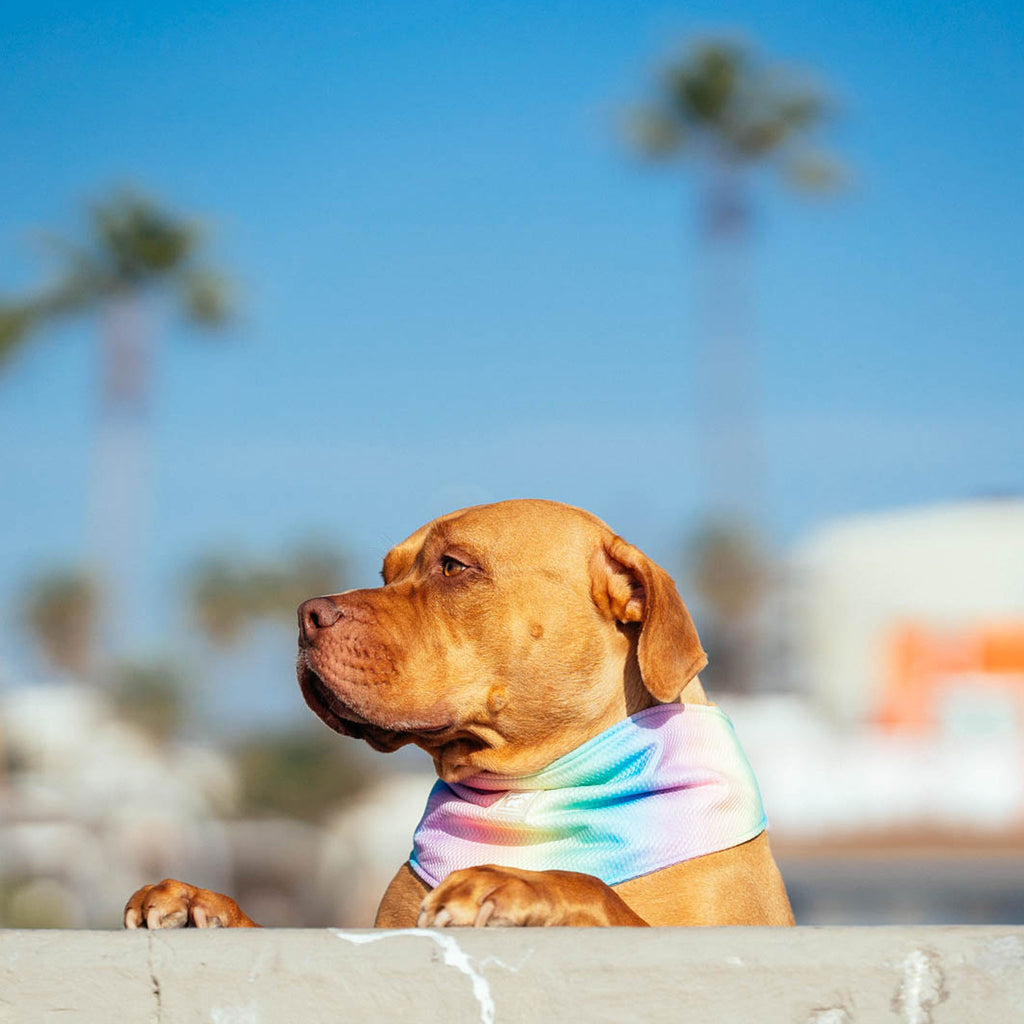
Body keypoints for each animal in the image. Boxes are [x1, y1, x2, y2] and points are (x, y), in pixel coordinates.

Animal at [123, 499, 794, 933]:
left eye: (452, 566)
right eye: (386, 573)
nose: (306, 614)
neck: (531, 792)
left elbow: (595, 889)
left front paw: (517, 881)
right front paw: (199, 902)